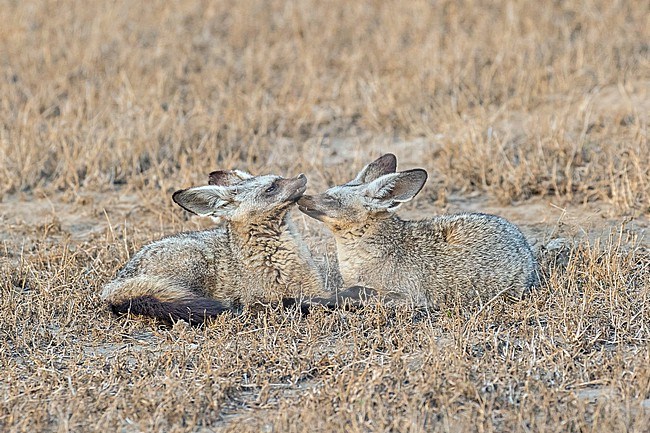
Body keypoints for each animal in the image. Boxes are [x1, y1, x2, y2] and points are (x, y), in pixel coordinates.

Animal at [296, 154, 536, 308]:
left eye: (331, 199)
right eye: (327, 191)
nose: (301, 197)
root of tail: (524, 246)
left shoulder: (407, 297)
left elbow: (354, 292)